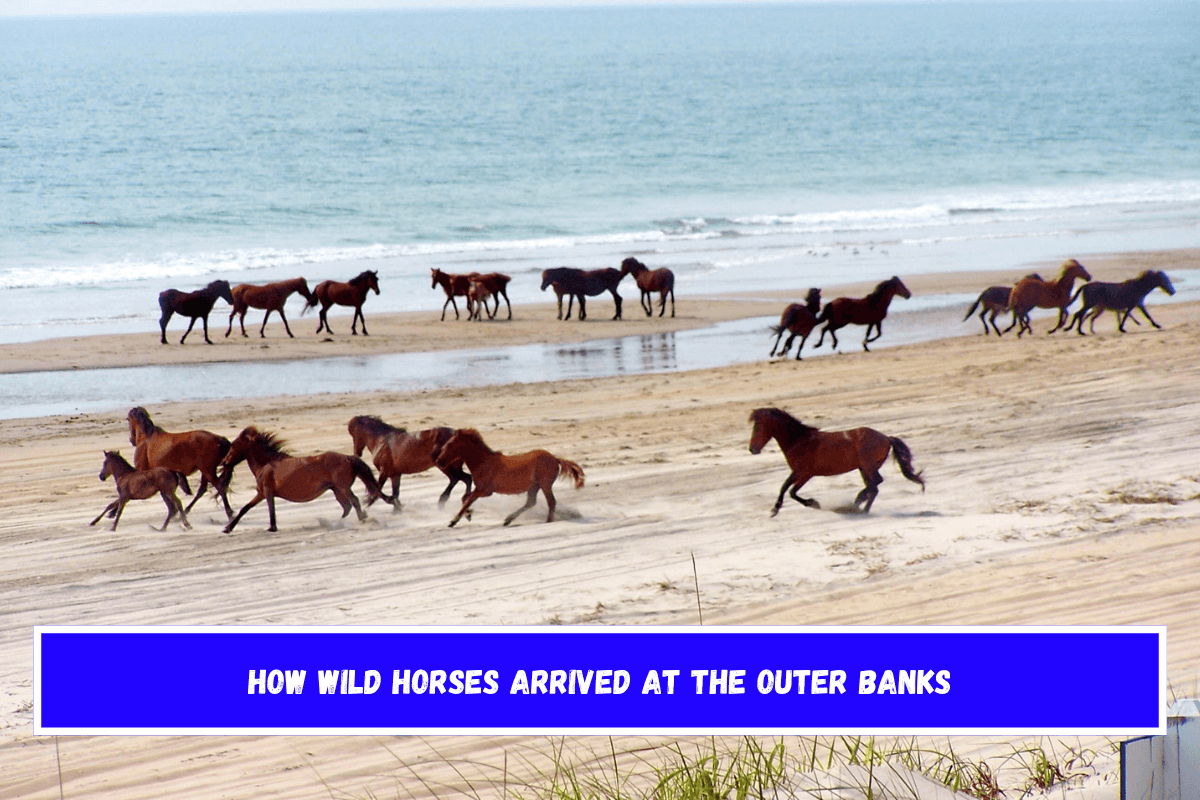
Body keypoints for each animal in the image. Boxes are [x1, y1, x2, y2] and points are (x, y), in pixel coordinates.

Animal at [218, 429, 379, 534]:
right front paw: (227, 528)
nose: (224, 462)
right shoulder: (261, 493)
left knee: (354, 501)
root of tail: (348, 457)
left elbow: (270, 509)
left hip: (343, 487)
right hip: (336, 489)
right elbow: (245, 508)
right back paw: (338, 523)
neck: (266, 464)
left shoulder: (267, 492)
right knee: (347, 506)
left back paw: (362, 519)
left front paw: (272, 528)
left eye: (233, 446)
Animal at [434, 429, 583, 527]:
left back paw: (548, 521)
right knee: (531, 502)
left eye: (449, 444)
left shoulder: (484, 490)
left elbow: (467, 499)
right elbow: (466, 499)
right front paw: (468, 514)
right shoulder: (481, 490)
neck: (483, 462)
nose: (438, 461)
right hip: (534, 486)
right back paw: (508, 520)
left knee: (551, 502)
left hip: (545, 484)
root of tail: (555, 459)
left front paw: (454, 521)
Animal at [744, 410, 921, 515]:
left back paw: (857, 503)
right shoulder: (797, 472)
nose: (752, 449)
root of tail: (886, 438)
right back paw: (860, 507)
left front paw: (812, 503)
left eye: (758, 427)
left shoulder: (805, 474)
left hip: (867, 466)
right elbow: (785, 487)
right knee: (875, 487)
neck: (800, 441)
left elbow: (791, 491)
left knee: (876, 483)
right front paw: (775, 508)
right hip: (863, 468)